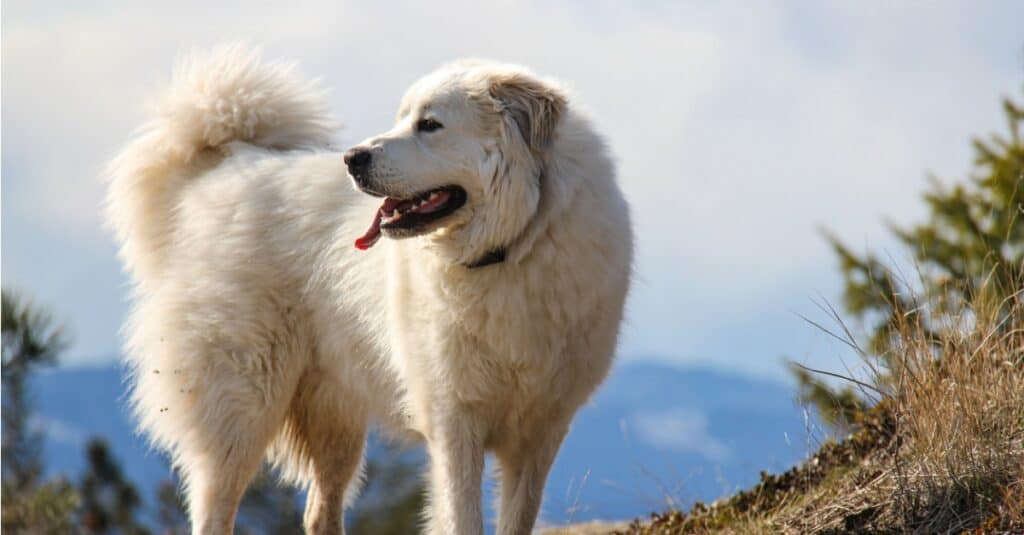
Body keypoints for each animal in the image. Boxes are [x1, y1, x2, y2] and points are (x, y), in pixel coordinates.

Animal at [103, 46, 630, 532]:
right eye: (402, 118)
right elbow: (461, 515)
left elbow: (517, 517)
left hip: (335, 420)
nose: (352, 158)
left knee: (320, 511)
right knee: (217, 507)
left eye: (430, 124)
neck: (511, 246)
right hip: (241, 405)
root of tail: (226, 167)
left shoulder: (540, 431)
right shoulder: (454, 421)